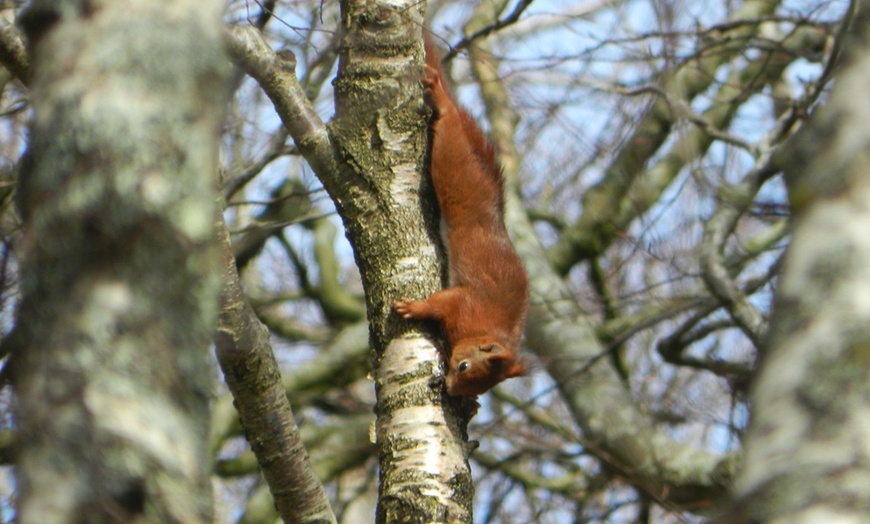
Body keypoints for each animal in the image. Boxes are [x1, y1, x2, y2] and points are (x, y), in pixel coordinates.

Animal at [396, 35, 532, 398]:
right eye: (465, 366)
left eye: (481, 388)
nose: (451, 392)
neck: (487, 328)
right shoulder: (463, 303)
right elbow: (438, 303)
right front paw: (413, 308)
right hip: (451, 158)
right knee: (449, 122)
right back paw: (443, 100)